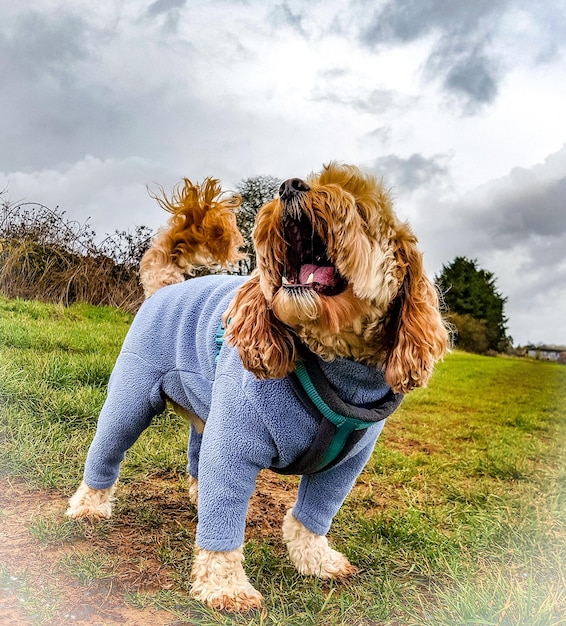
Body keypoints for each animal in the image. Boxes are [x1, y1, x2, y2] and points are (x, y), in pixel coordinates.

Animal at [65, 162, 448, 608]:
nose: (290, 186)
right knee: (107, 448)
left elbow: (314, 515)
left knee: (197, 455)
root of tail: (168, 286)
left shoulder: (345, 465)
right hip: (131, 398)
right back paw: (89, 505)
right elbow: (224, 523)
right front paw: (225, 586)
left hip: (206, 411)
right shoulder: (234, 443)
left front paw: (315, 559)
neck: (333, 364)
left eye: (360, 207)